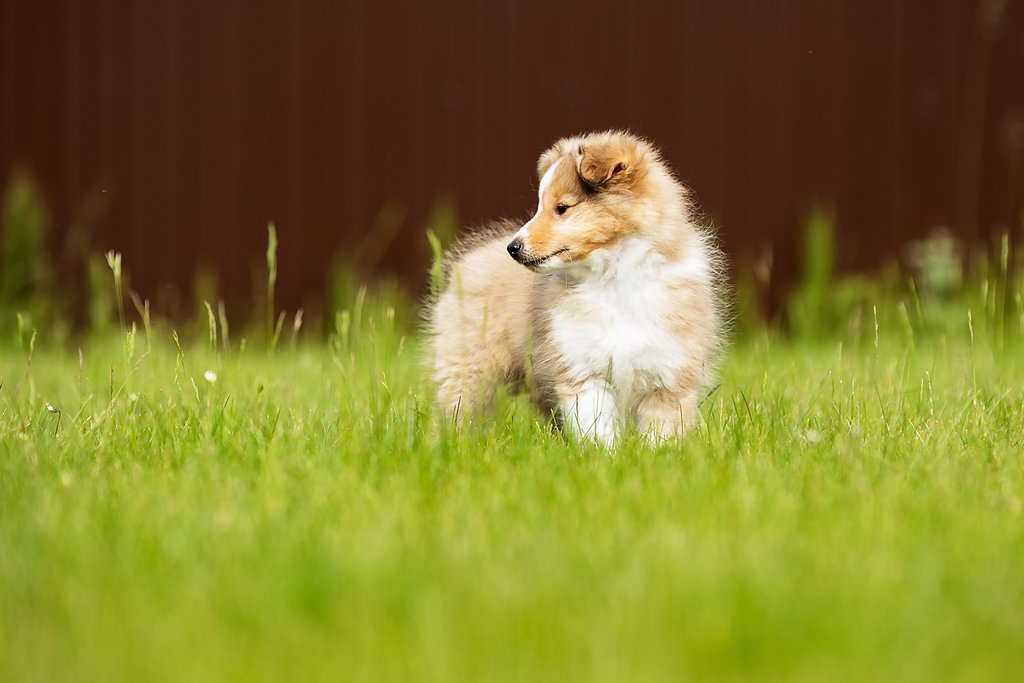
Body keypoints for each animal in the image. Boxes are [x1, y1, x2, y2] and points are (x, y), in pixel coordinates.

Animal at [428, 131, 724, 446]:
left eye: (562, 208)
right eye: (540, 206)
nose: (513, 247)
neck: (613, 279)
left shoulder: (670, 375)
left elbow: (661, 434)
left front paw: (655, 453)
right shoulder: (581, 368)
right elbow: (596, 428)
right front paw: (603, 454)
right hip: (468, 366)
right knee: (455, 409)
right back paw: (446, 445)